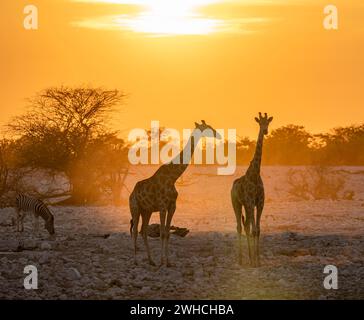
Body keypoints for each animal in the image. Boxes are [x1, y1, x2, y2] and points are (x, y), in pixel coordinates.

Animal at [129, 119, 220, 264]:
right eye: (208, 128)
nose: (219, 135)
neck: (173, 178)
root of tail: (131, 194)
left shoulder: (172, 206)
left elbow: (167, 233)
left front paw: (167, 262)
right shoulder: (162, 206)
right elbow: (162, 233)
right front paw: (162, 261)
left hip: (147, 211)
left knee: (143, 231)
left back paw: (151, 260)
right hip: (135, 208)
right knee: (136, 231)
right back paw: (136, 261)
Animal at [232, 112, 272, 268]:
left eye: (268, 122)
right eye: (260, 123)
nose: (265, 131)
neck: (255, 173)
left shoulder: (259, 203)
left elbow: (257, 230)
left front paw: (258, 261)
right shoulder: (250, 202)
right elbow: (253, 230)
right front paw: (254, 261)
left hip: (246, 206)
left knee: (247, 226)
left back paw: (249, 258)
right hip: (236, 204)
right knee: (239, 226)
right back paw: (240, 260)